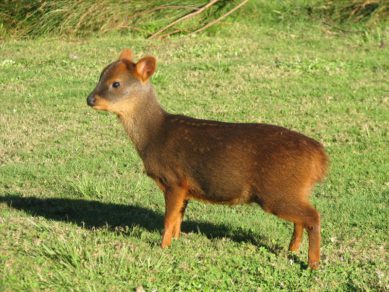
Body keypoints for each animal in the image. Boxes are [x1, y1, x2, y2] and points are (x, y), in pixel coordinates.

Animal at [85, 48, 328, 270]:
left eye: (116, 84)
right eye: (100, 75)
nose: (89, 99)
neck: (153, 137)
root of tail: (320, 157)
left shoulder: (174, 179)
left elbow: (168, 219)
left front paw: (162, 247)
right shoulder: (185, 187)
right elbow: (178, 219)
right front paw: (175, 242)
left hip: (276, 191)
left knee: (313, 216)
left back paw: (312, 264)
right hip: (291, 191)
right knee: (301, 220)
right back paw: (292, 249)